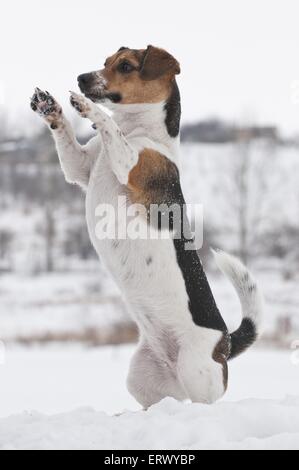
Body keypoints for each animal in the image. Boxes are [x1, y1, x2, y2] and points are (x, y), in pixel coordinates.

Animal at [31, 46, 264, 410]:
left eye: (126, 66)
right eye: (106, 61)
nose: (82, 78)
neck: (139, 131)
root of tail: (225, 343)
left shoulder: (130, 165)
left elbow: (109, 125)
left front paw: (89, 108)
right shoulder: (79, 167)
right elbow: (68, 136)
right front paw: (49, 106)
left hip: (196, 373)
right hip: (141, 377)